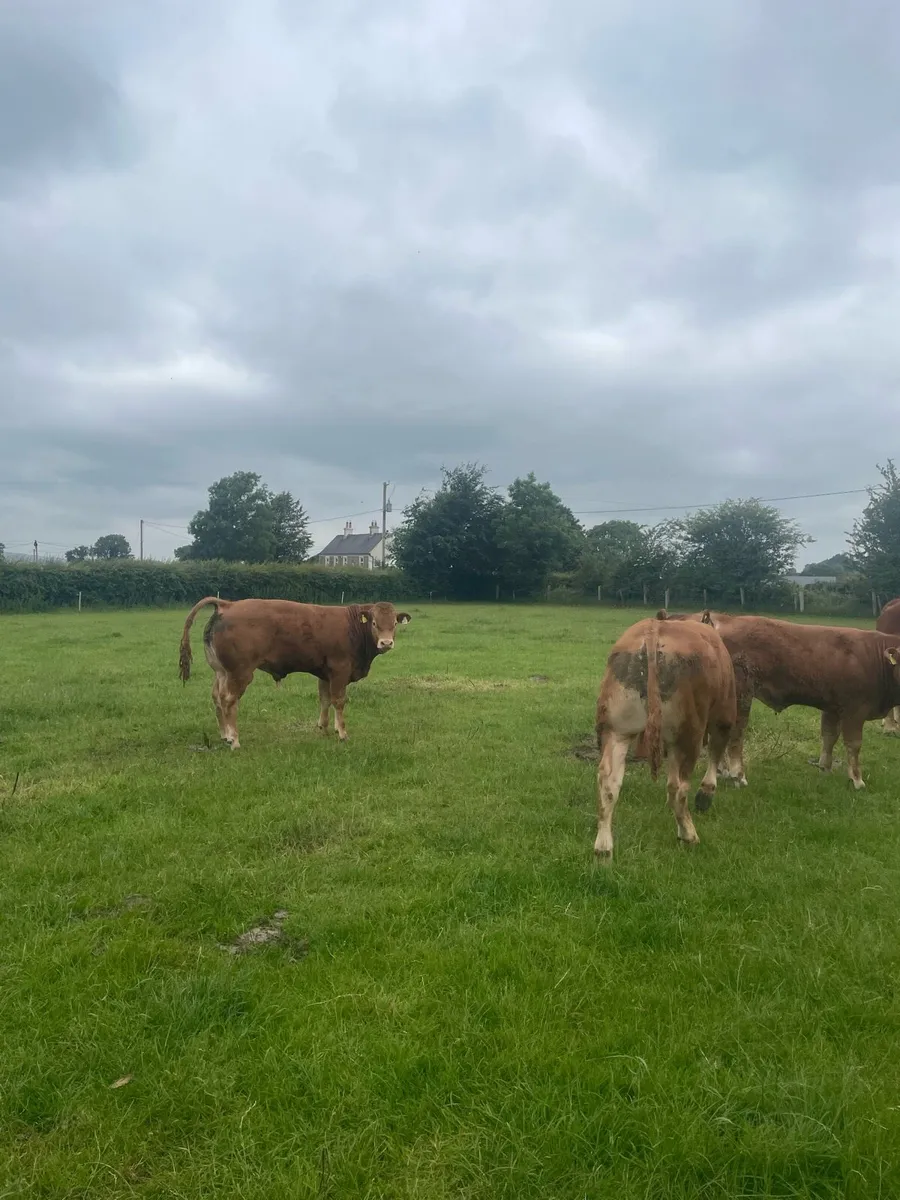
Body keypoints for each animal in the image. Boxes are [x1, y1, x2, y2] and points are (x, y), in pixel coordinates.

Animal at [178, 597, 412, 747]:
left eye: (394, 624)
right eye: (374, 623)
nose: (386, 643)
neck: (353, 627)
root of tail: (228, 604)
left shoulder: (325, 673)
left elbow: (324, 700)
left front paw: (324, 727)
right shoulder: (340, 670)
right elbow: (338, 701)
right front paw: (343, 733)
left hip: (221, 672)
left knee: (217, 697)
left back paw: (224, 735)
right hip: (239, 672)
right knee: (229, 700)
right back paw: (233, 739)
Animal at [593, 615, 736, 857]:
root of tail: (654, 628)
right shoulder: (723, 717)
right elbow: (715, 753)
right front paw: (706, 795)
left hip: (616, 731)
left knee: (608, 783)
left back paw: (603, 849)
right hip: (690, 734)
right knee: (678, 788)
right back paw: (688, 834)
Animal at [672, 610, 900, 791]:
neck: (874, 658)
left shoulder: (832, 708)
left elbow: (829, 737)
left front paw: (825, 768)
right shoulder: (854, 711)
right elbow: (854, 745)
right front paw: (857, 780)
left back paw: (721, 771)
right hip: (741, 694)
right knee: (736, 732)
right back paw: (738, 775)